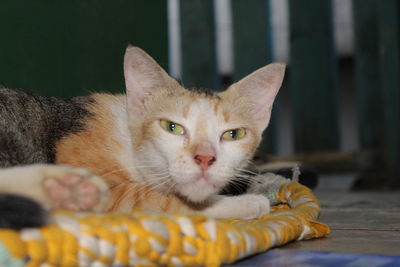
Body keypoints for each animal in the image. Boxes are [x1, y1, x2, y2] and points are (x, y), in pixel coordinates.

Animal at [0, 46, 288, 228]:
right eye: (172, 127)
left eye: (233, 134)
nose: (205, 157)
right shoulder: (108, 186)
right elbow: (158, 200)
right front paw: (248, 202)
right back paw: (64, 189)